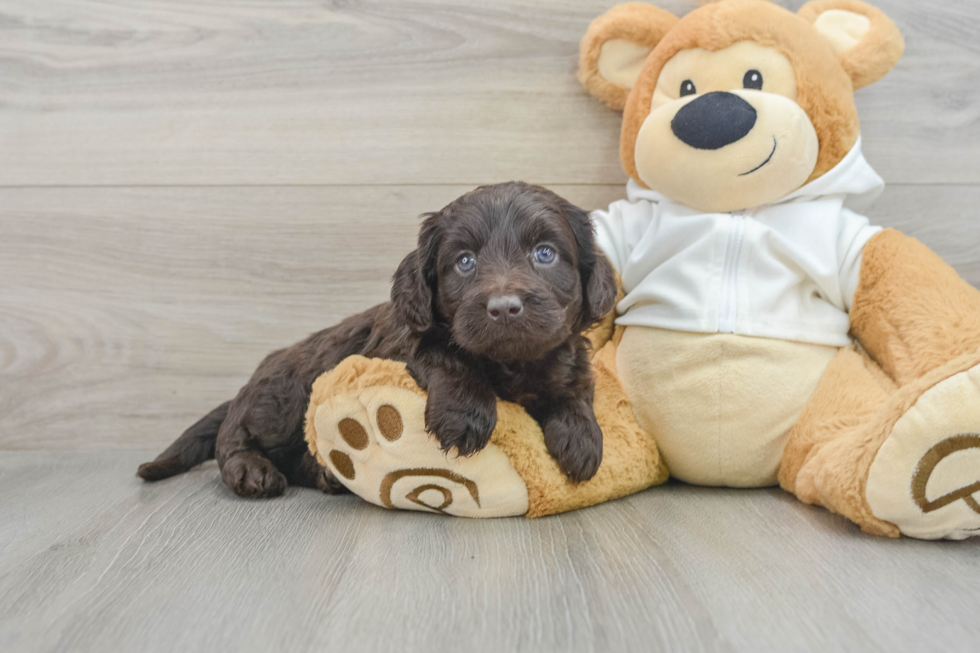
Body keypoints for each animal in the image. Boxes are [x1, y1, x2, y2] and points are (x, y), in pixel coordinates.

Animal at [138, 183, 616, 500]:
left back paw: (324, 474)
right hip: (283, 397)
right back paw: (251, 471)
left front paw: (581, 438)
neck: (509, 364)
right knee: (234, 435)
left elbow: (573, 384)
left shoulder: (564, 354)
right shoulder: (405, 341)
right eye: (464, 262)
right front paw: (465, 417)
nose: (503, 308)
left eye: (545, 254)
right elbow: (450, 358)